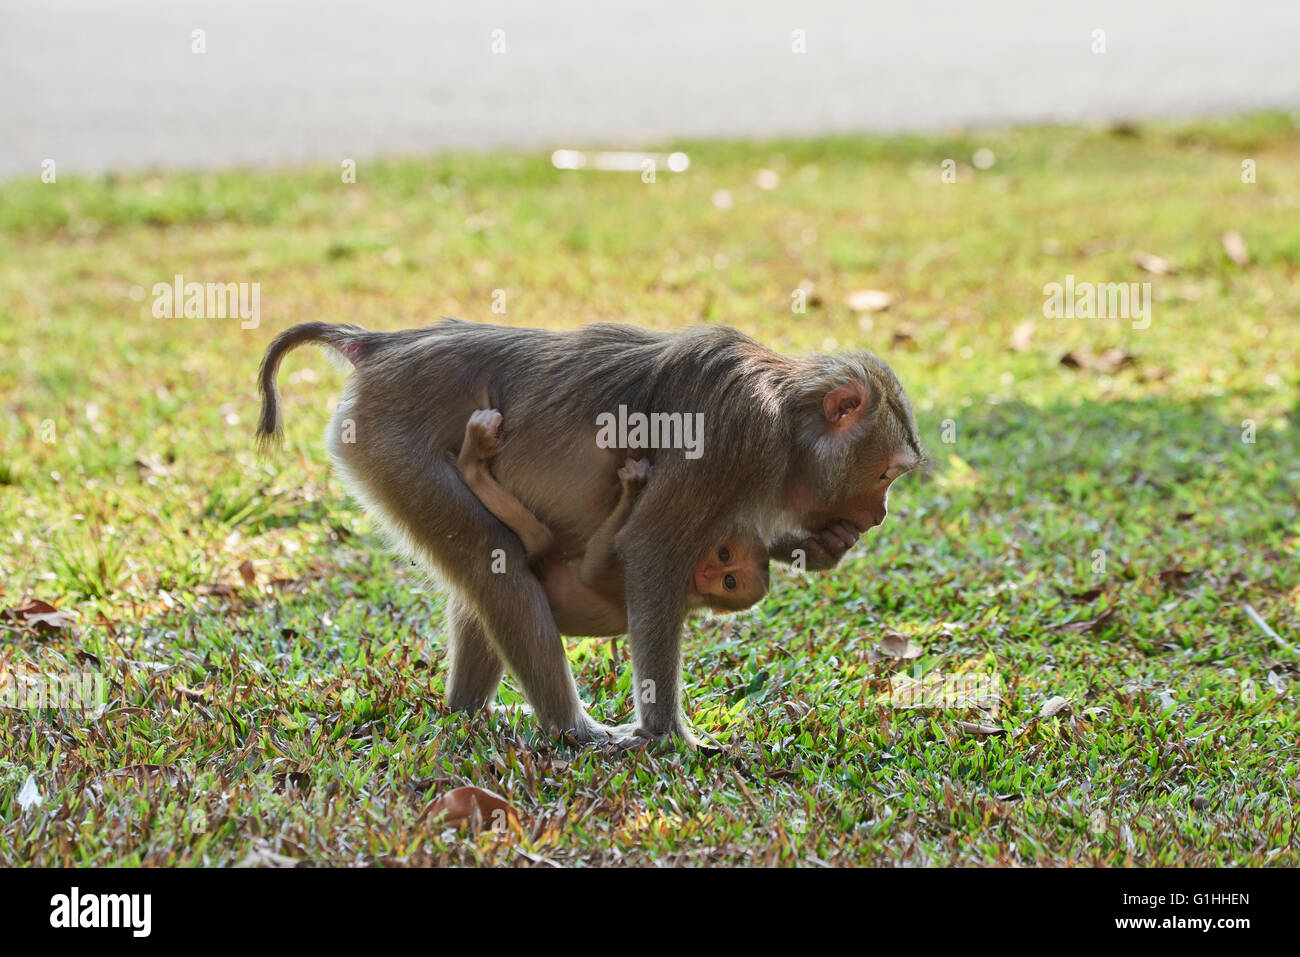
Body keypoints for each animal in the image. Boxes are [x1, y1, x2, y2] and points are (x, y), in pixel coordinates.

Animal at [454, 407, 769, 637]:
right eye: (724, 554)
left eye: (729, 582)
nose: (708, 570)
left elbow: (593, 572)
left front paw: (633, 486)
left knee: (541, 539)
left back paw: (472, 461)